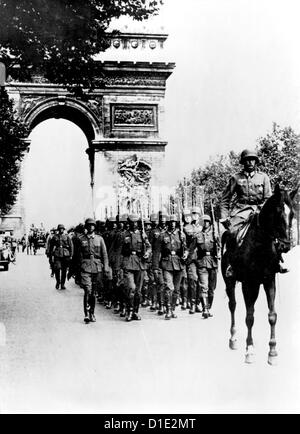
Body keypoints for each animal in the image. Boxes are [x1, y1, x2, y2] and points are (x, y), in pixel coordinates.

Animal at [221, 185, 296, 364]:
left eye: (292, 214)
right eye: (278, 213)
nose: (285, 246)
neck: (260, 245)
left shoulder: (269, 281)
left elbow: (272, 315)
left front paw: (272, 351)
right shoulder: (249, 284)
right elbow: (249, 317)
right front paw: (249, 350)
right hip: (230, 282)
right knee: (233, 305)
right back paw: (233, 339)